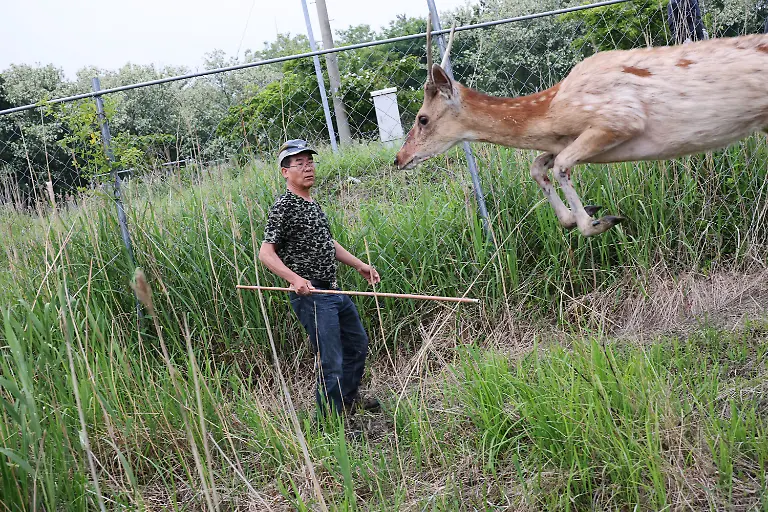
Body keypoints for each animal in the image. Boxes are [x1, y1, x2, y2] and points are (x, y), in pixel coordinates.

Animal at [393, 19, 768, 237]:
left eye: (422, 118)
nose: (399, 159)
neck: (552, 110)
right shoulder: (564, 140)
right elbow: (538, 165)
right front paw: (579, 215)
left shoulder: (620, 119)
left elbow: (560, 165)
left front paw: (598, 221)